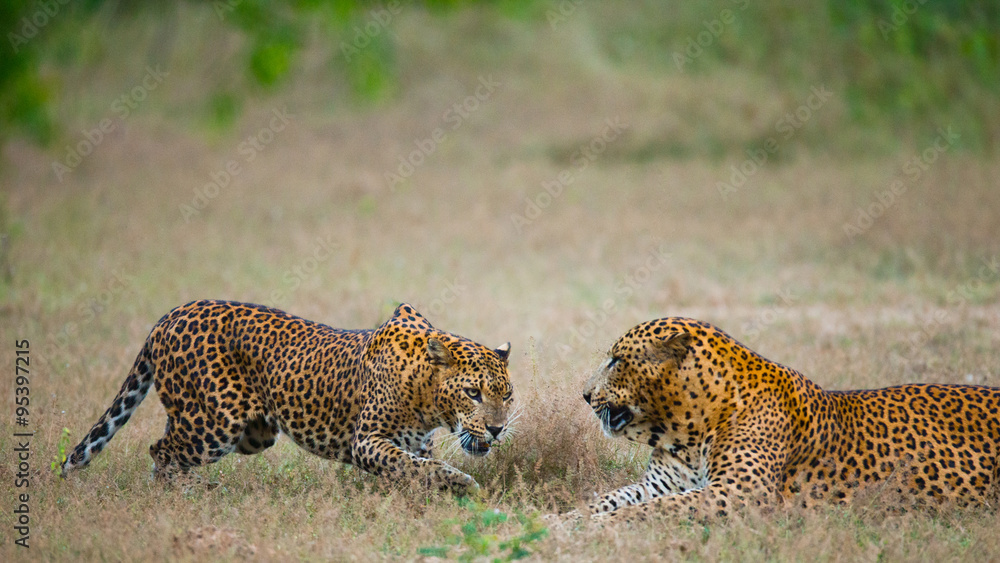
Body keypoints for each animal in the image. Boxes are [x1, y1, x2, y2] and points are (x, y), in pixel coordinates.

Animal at [60, 300, 514, 494]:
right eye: (472, 393)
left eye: (507, 395)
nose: (497, 429)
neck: (425, 393)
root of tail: (170, 315)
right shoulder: (366, 440)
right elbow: (412, 465)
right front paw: (462, 483)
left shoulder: (415, 441)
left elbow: (415, 467)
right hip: (215, 423)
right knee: (162, 450)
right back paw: (182, 495)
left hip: (251, 433)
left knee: (167, 443)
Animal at [572, 316, 1000, 522]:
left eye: (616, 360)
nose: (585, 394)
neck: (685, 430)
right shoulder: (660, 485)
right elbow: (609, 499)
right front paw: (564, 520)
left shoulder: (739, 494)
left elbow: (647, 512)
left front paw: (593, 529)